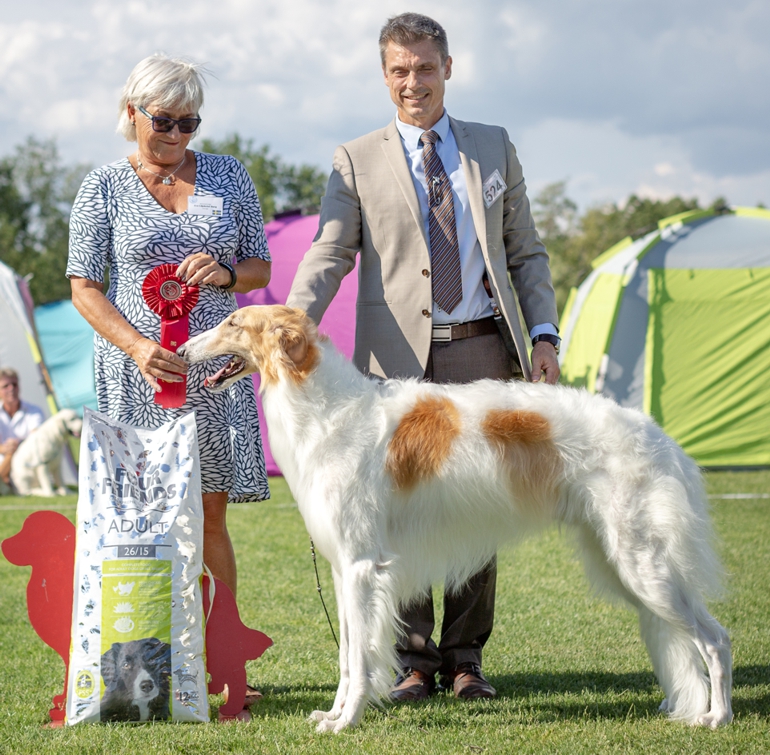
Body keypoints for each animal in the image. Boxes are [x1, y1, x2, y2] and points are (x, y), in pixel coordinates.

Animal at [180, 302, 732, 732]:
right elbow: (346, 656)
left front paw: (347, 721)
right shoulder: (342, 569)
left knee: (716, 639)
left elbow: (359, 657)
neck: (329, 409)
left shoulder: (362, 567)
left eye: (232, 322)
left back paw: (717, 716)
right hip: (618, 559)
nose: (182, 351)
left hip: (641, 561)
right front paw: (332, 714)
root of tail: (658, 436)